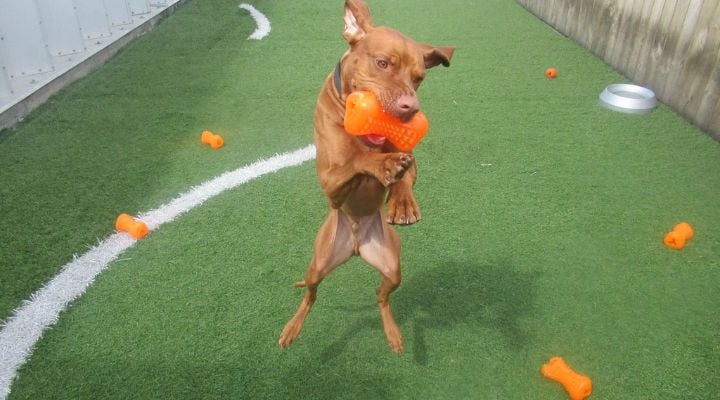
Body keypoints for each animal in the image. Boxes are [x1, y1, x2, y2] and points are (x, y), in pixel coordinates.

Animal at [278, 0, 452, 354]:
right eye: (382, 63)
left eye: (419, 78)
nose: (411, 107)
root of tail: (356, 246)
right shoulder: (330, 181)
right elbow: (358, 160)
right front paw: (383, 163)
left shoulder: (411, 159)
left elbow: (406, 174)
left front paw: (402, 202)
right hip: (319, 262)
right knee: (310, 294)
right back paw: (292, 328)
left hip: (393, 267)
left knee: (381, 296)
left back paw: (394, 333)